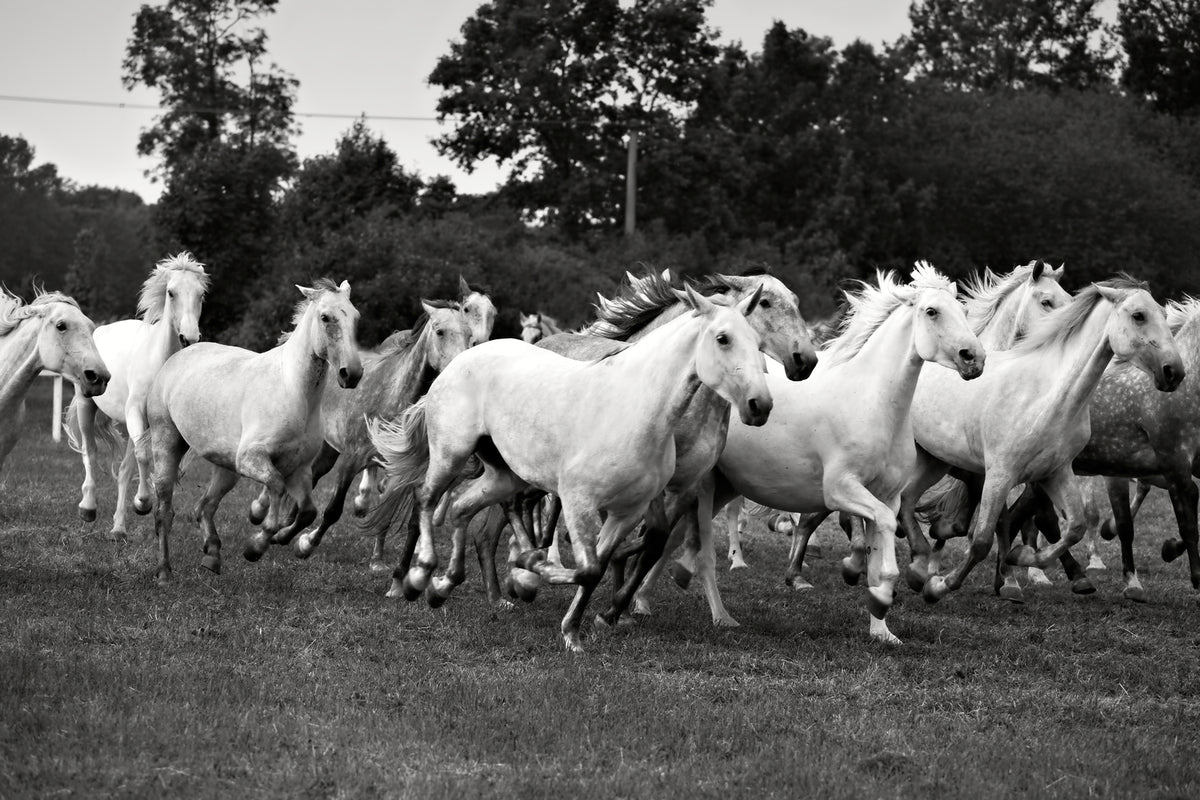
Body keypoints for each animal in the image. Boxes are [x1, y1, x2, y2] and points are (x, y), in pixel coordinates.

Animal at [66, 251, 207, 537]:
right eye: (171, 293)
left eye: (201, 294)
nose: (189, 338)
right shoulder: (134, 412)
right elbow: (144, 457)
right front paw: (143, 502)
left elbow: (154, 463)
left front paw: (145, 504)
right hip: (88, 405)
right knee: (90, 451)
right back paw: (88, 508)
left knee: (124, 468)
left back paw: (119, 529)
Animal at [369, 287, 772, 652]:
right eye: (722, 338)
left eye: (758, 342)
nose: (761, 405)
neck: (637, 406)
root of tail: (461, 360)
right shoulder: (579, 502)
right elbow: (588, 566)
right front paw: (530, 574)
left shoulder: (628, 512)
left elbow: (599, 567)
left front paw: (572, 631)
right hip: (451, 454)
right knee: (426, 498)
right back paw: (418, 576)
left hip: (504, 474)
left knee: (460, 507)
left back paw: (443, 587)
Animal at [700, 263, 979, 642]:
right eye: (932, 311)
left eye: (963, 311)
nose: (974, 358)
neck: (873, 404)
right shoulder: (841, 489)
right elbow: (880, 530)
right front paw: (871, 585)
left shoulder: (887, 496)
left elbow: (878, 549)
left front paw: (882, 629)